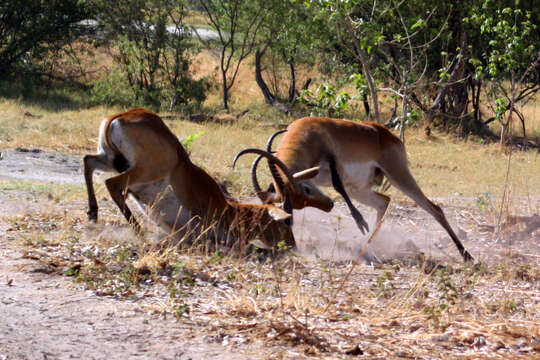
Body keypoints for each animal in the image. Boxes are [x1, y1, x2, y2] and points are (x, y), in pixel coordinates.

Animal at [82, 107, 298, 250]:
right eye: (287, 221)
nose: (292, 245)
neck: (228, 209)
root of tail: (119, 116)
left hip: (109, 159)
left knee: (88, 161)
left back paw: (93, 214)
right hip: (145, 171)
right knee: (111, 183)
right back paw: (141, 233)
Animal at [234, 117, 474, 262]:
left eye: (307, 190)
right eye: (295, 202)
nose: (330, 205)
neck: (309, 134)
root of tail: (386, 135)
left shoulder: (333, 163)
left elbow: (338, 185)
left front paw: (360, 221)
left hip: (399, 176)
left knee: (434, 209)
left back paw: (467, 255)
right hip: (360, 190)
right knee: (384, 202)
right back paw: (367, 248)